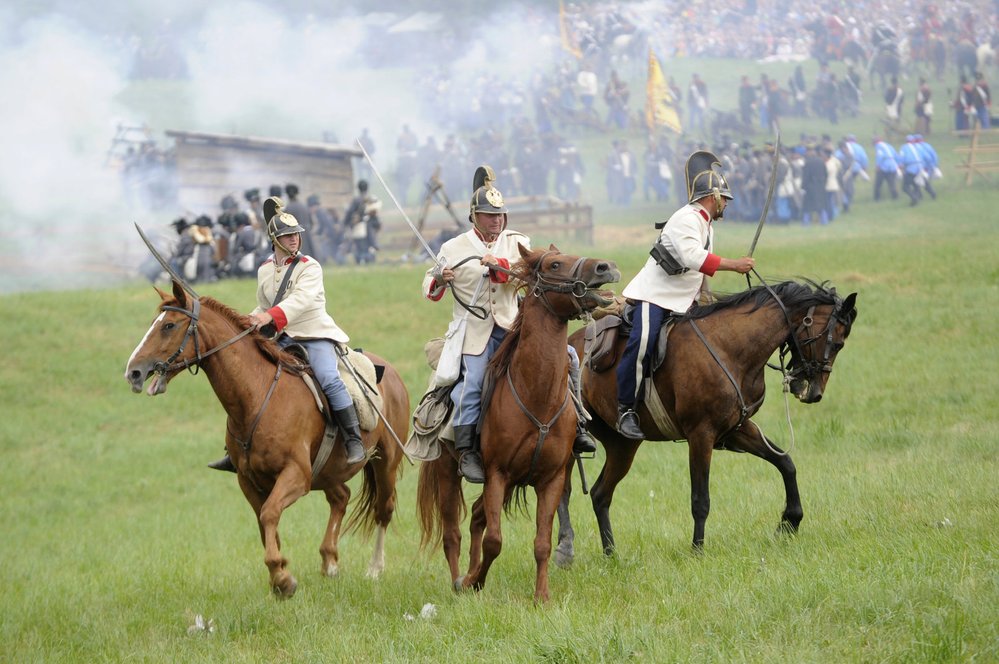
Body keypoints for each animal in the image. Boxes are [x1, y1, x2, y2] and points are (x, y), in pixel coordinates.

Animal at [126, 278, 410, 596]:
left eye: (169, 326)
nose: (133, 372)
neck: (257, 395)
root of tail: (391, 373)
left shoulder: (296, 476)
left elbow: (270, 514)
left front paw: (282, 578)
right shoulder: (248, 480)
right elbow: (264, 526)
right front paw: (279, 574)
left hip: (384, 464)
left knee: (383, 510)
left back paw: (374, 569)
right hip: (328, 472)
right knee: (340, 498)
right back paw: (329, 562)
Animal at [414, 244, 616, 600]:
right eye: (554, 264)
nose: (605, 268)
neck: (536, 393)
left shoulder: (550, 479)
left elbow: (542, 543)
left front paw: (541, 597)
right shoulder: (497, 474)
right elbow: (495, 541)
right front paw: (474, 580)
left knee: (476, 517)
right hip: (447, 472)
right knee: (453, 533)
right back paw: (459, 581)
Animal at [564, 278, 860, 556]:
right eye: (836, 342)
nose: (814, 392)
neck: (729, 347)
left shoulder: (738, 429)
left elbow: (785, 463)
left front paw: (791, 521)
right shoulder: (701, 435)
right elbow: (700, 499)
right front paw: (697, 550)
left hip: (623, 445)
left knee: (600, 494)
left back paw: (611, 554)